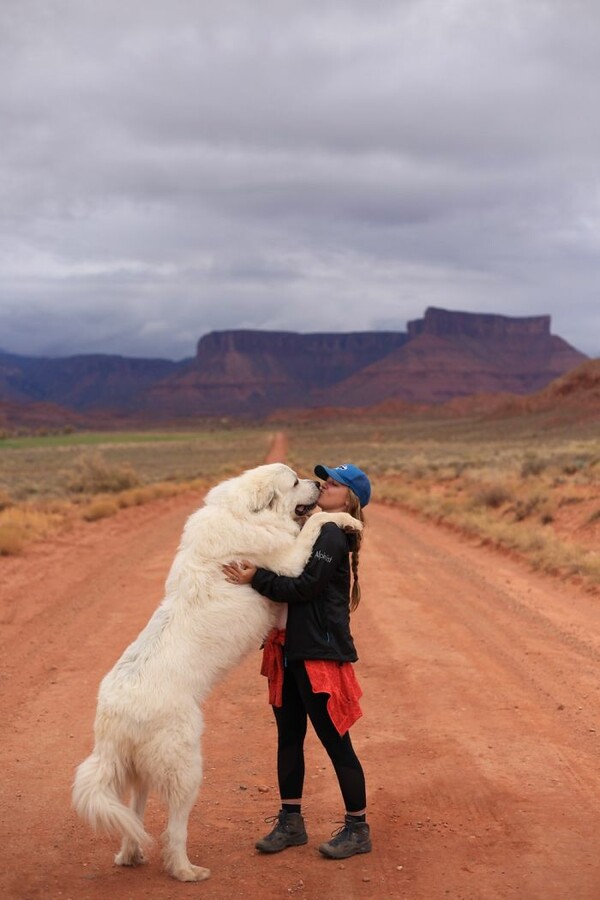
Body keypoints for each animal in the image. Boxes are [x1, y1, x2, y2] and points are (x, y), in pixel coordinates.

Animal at [70, 464, 360, 880]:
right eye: (293, 482)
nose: (319, 483)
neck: (245, 515)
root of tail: (113, 716)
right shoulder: (289, 561)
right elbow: (315, 524)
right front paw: (348, 520)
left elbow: (310, 524)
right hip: (186, 766)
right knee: (174, 828)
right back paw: (185, 870)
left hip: (138, 771)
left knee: (133, 815)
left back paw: (131, 854)